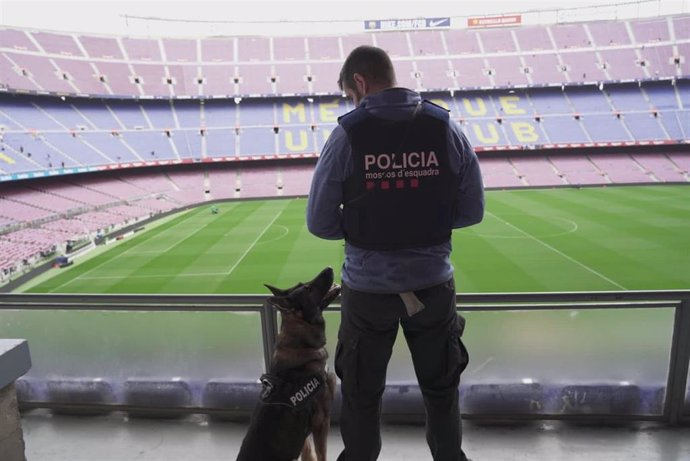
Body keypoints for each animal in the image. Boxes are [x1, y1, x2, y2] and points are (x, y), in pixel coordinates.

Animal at [235, 266, 340, 460]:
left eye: (303, 284)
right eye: (308, 289)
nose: (329, 268)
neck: (302, 345)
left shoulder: (304, 435)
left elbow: (308, 453)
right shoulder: (322, 421)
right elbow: (321, 455)